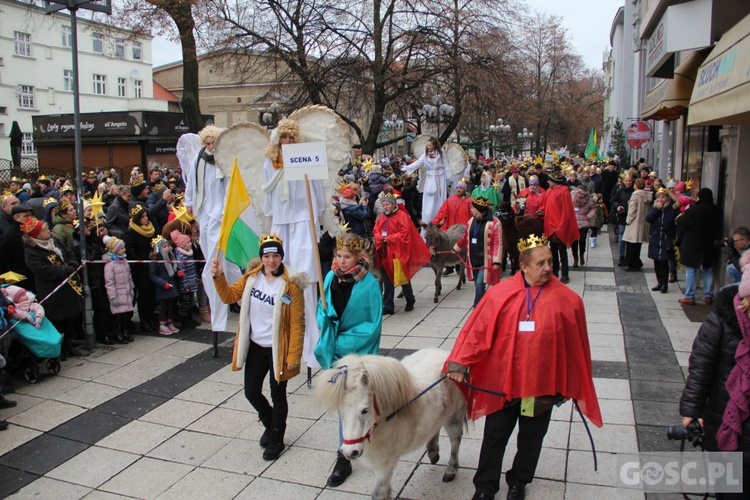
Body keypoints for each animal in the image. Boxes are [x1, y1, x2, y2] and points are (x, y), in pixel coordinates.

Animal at [312, 348, 464, 500]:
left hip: (453, 417)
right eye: (340, 410)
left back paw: (451, 470)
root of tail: (445, 354)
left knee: (455, 440)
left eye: (365, 410)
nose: (349, 452)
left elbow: (378, 494)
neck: (384, 422)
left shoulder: (384, 464)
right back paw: (433, 453)